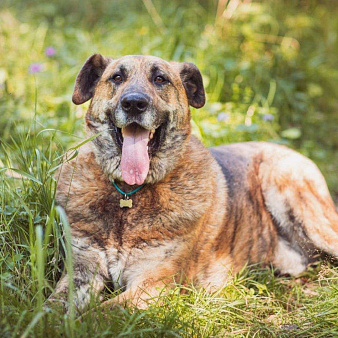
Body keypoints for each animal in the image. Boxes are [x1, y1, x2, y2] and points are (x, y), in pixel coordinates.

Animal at [50, 54, 338, 310]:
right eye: (117, 77)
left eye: (160, 79)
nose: (133, 104)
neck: (128, 195)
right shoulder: (82, 269)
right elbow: (53, 307)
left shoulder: (152, 284)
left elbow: (102, 313)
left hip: (291, 193)